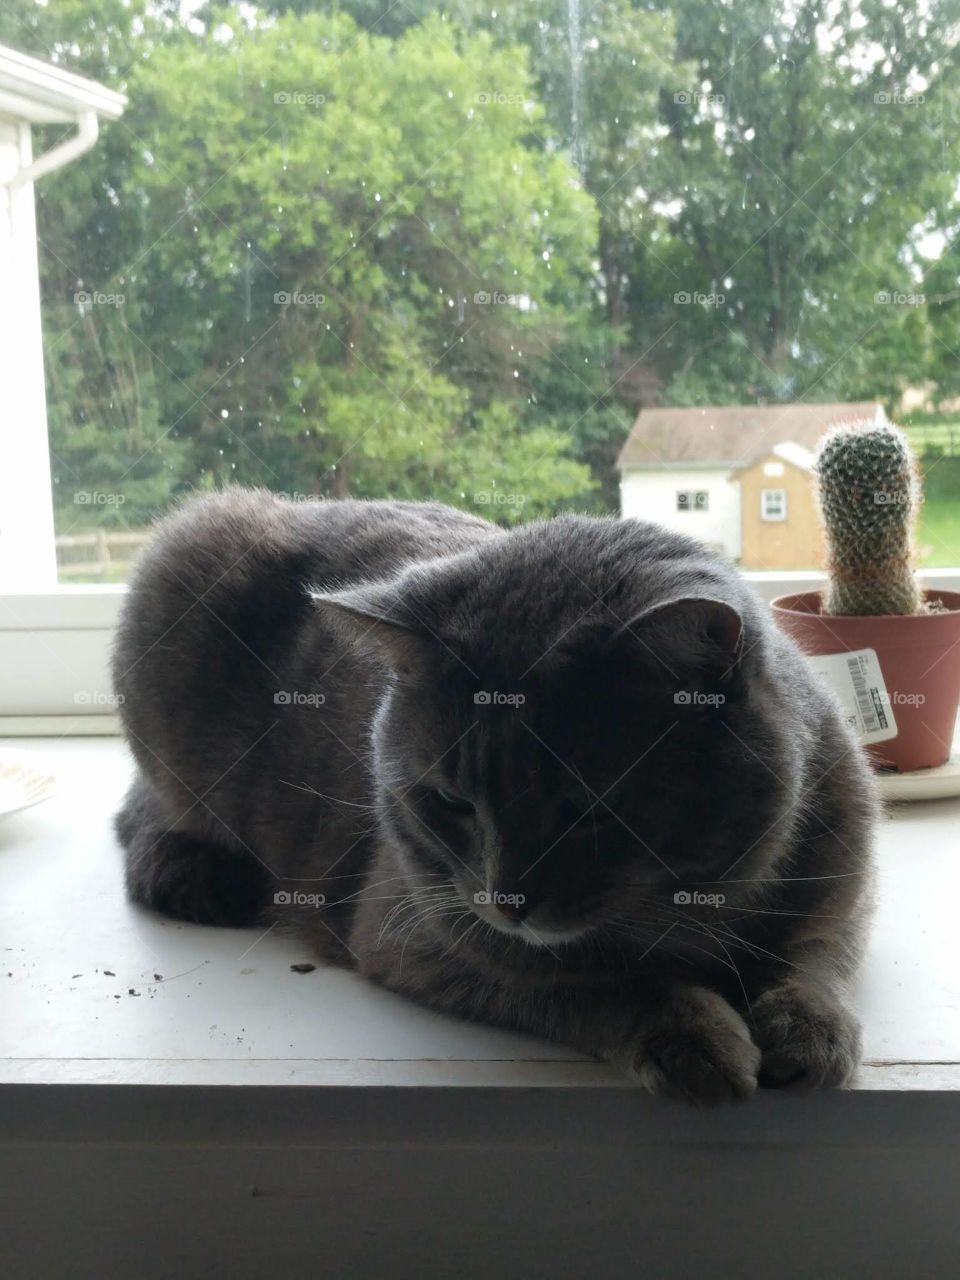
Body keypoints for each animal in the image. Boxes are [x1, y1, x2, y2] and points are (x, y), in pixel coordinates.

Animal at [114, 488, 880, 1100]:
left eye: (591, 807)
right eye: (451, 803)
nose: (507, 900)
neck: (689, 910)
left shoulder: (846, 887)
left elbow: (815, 955)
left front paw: (810, 1030)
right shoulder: (423, 932)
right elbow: (603, 985)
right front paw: (694, 1038)